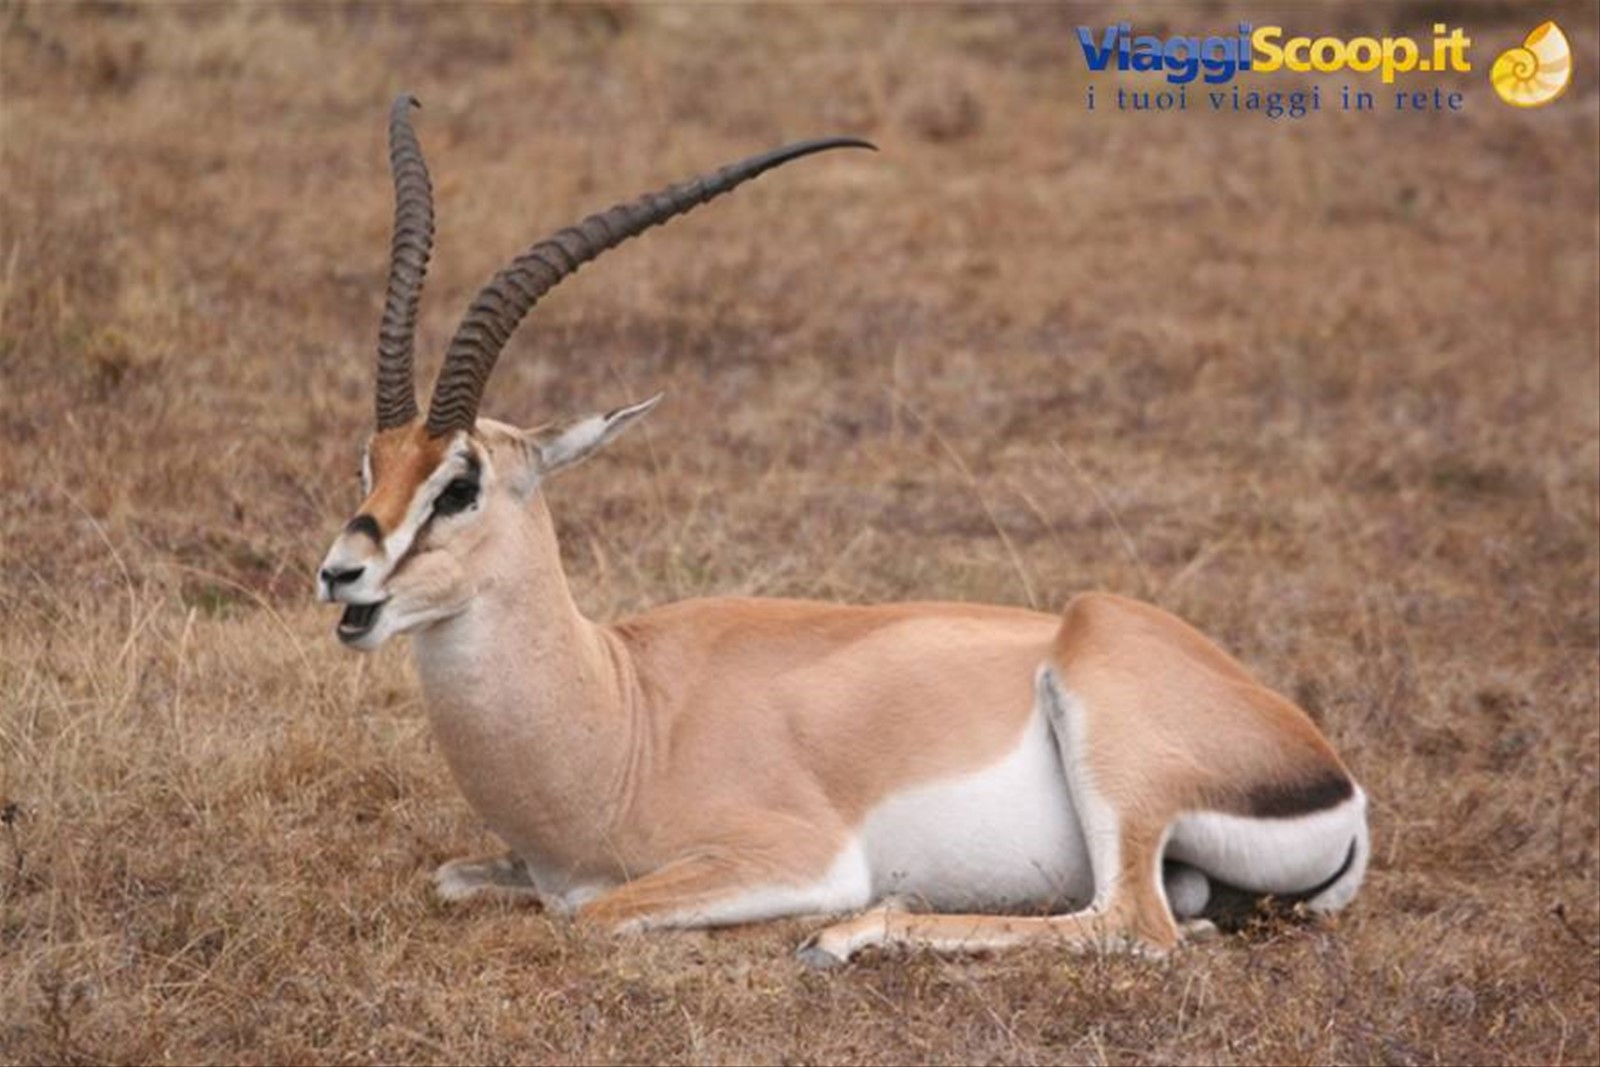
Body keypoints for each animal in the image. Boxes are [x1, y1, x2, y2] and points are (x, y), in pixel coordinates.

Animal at [317, 95, 1369, 967]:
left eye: (460, 484)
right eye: (373, 463)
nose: (342, 573)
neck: (621, 715)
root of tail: (1328, 771)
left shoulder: (791, 856)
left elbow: (592, 915)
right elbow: (452, 877)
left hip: (1111, 751)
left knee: (1136, 926)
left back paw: (844, 938)